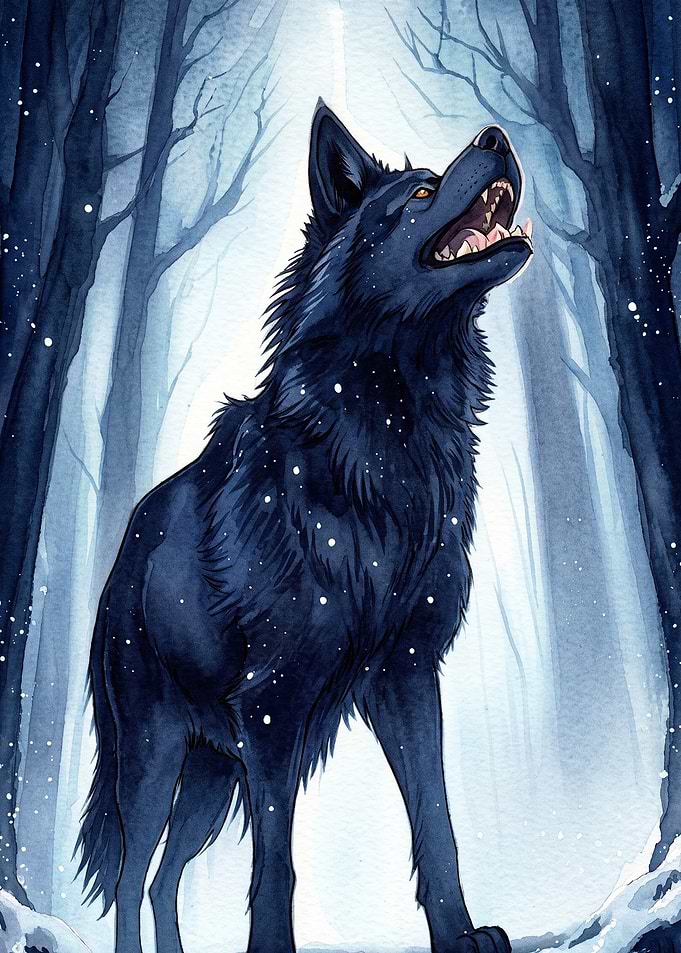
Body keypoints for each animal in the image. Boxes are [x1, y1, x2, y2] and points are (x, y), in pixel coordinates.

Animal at [78, 101, 532, 953]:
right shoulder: (274, 709)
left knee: (161, 876)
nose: (496, 137)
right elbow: (277, 865)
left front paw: (460, 936)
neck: (387, 441)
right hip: (156, 758)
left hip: (211, 777)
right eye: (422, 193)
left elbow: (437, 824)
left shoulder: (407, 674)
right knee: (128, 873)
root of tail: (126, 548)